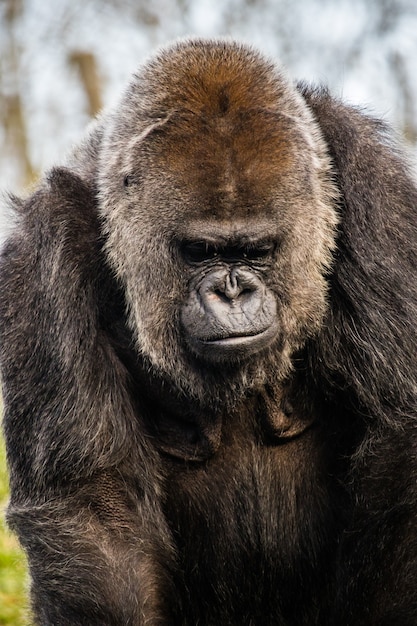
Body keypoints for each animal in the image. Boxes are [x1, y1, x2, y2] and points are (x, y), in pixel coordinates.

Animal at [0, 39, 416, 624]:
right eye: (199, 252)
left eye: (256, 251)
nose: (232, 291)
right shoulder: (47, 246)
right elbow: (94, 509)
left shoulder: (371, 182)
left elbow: (402, 435)